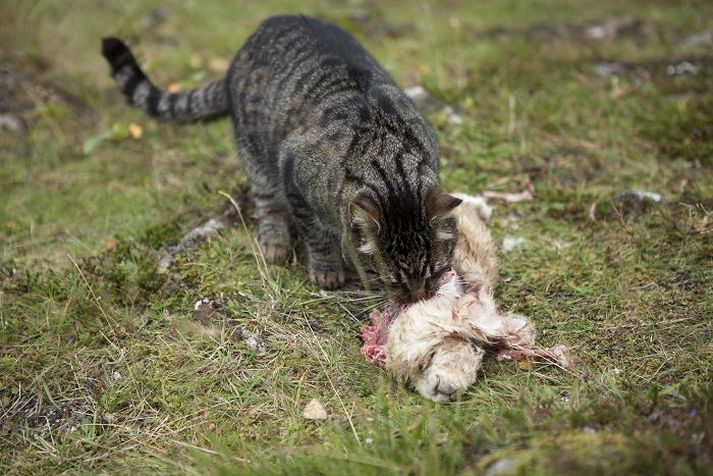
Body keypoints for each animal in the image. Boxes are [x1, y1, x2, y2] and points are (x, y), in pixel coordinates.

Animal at [101, 17, 462, 304]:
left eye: (435, 272)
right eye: (393, 280)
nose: (418, 299)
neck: (386, 155)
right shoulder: (295, 177)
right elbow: (316, 235)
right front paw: (327, 268)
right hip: (256, 156)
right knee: (267, 202)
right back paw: (275, 241)